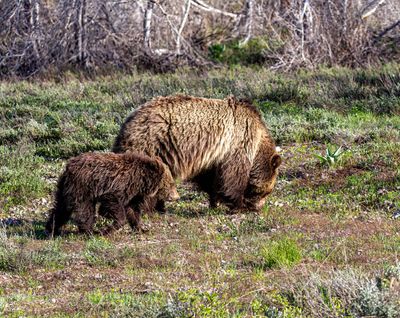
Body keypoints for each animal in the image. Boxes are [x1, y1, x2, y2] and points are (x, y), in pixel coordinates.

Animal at [44, 152, 179, 236]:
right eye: (171, 183)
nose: (177, 196)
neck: (141, 182)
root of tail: (68, 167)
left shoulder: (133, 195)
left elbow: (133, 211)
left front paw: (141, 228)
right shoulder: (118, 186)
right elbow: (111, 204)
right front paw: (108, 229)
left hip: (65, 188)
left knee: (61, 208)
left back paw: (52, 228)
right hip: (83, 188)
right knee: (85, 210)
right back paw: (89, 231)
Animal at [112, 94, 282, 211]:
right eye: (266, 192)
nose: (258, 207)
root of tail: (128, 121)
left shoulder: (213, 156)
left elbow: (210, 179)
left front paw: (215, 201)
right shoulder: (239, 142)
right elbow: (233, 176)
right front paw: (238, 204)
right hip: (150, 144)